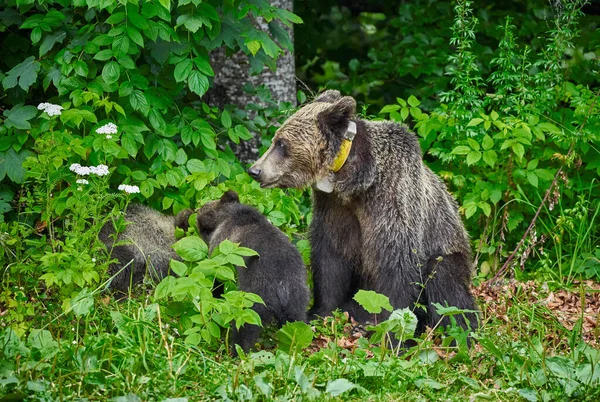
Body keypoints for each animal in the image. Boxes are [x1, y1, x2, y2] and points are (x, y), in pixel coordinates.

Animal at [197, 190, 310, 354]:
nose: (196, 212)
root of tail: (282, 288)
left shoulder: (222, 246)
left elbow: (217, 273)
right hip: (297, 299)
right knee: (296, 324)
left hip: (254, 299)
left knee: (245, 326)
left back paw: (238, 350)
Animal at [247, 89, 478, 334]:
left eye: (281, 144)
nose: (255, 170)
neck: (355, 183)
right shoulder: (334, 207)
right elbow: (330, 257)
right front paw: (320, 312)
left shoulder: (392, 201)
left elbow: (396, 265)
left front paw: (388, 326)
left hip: (448, 248)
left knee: (447, 288)